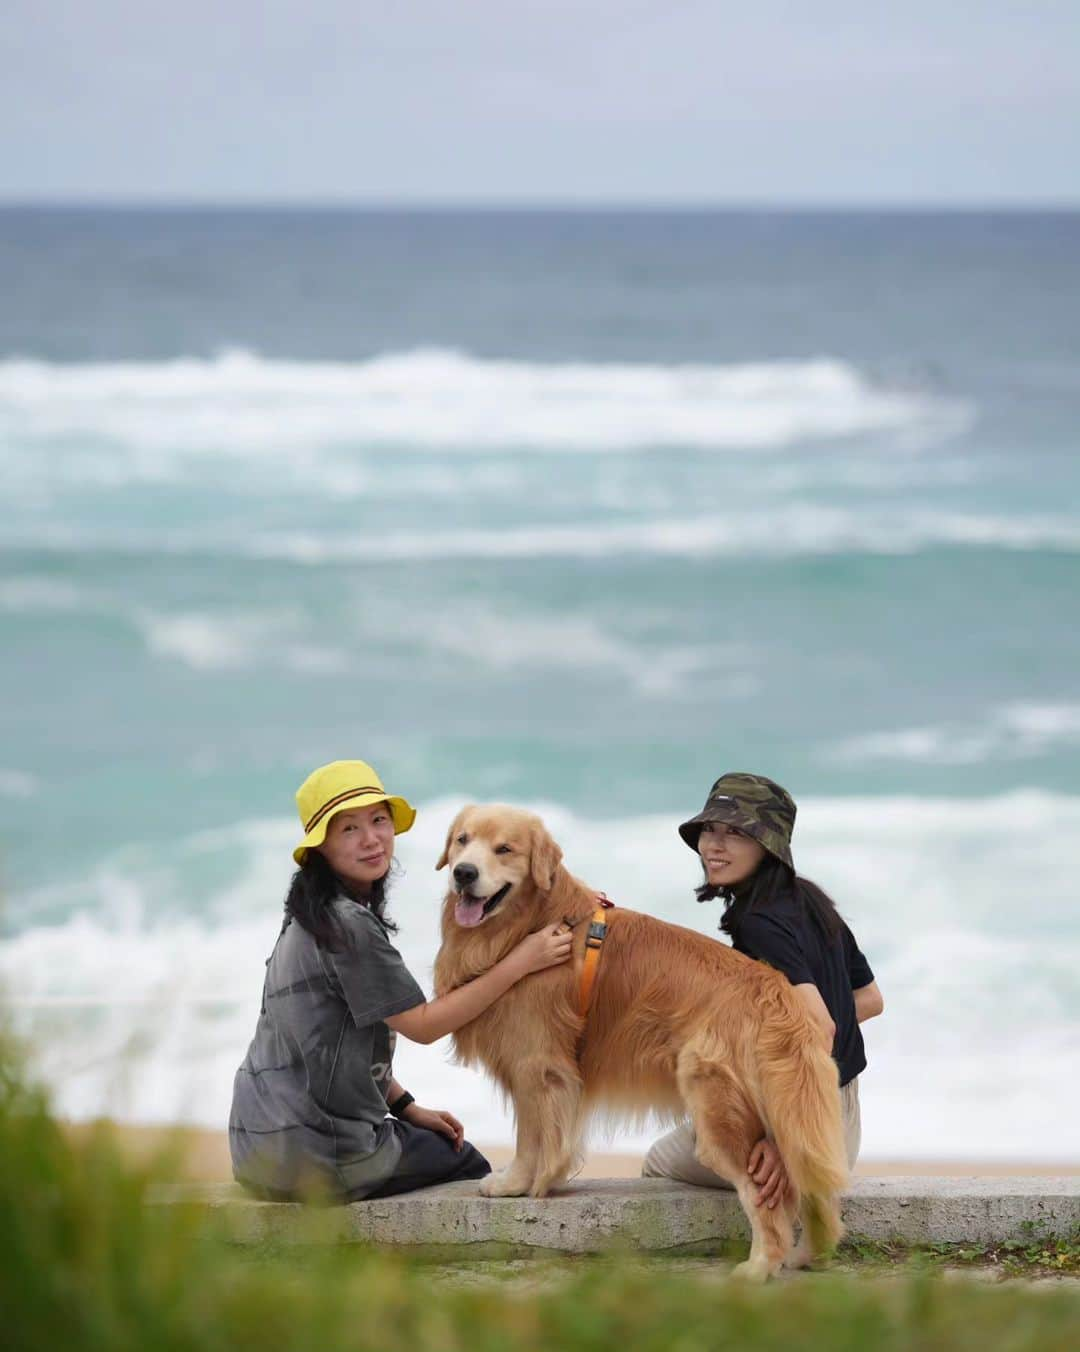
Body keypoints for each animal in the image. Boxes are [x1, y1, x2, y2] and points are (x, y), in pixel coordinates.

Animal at [435, 800, 848, 1276]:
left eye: (504, 849)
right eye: (462, 840)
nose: (463, 873)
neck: (538, 922)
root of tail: (776, 993)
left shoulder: (536, 1062)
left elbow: (532, 1135)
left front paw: (516, 1183)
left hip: (717, 1108)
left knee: (766, 1200)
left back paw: (761, 1267)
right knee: (813, 1192)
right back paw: (805, 1255)